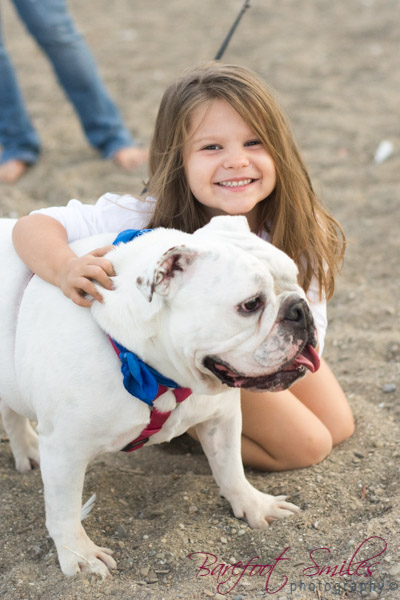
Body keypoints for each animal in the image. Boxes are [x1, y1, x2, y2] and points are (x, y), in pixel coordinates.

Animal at [0, 215, 320, 578]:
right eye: (251, 305)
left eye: (296, 279)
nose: (300, 308)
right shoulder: (65, 449)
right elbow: (64, 508)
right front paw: (80, 555)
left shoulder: (221, 417)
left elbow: (230, 467)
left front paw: (254, 505)